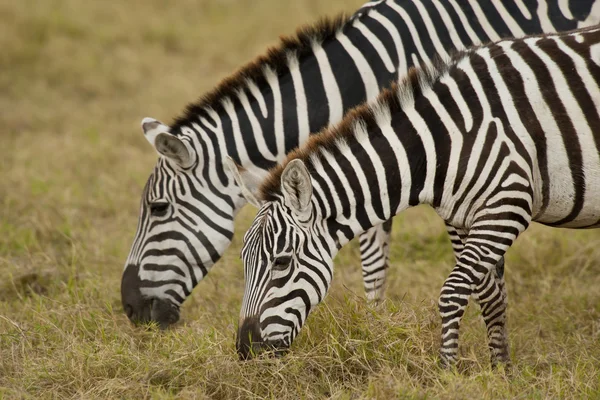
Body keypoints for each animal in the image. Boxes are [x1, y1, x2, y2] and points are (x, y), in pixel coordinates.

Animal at [231, 25, 600, 366]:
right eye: (243, 260)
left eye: (281, 262)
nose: (246, 350)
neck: (443, 140)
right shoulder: (467, 219)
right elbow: (491, 297)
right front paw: (501, 371)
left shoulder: (506, 206)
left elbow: (453, 291)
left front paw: (448, 370)